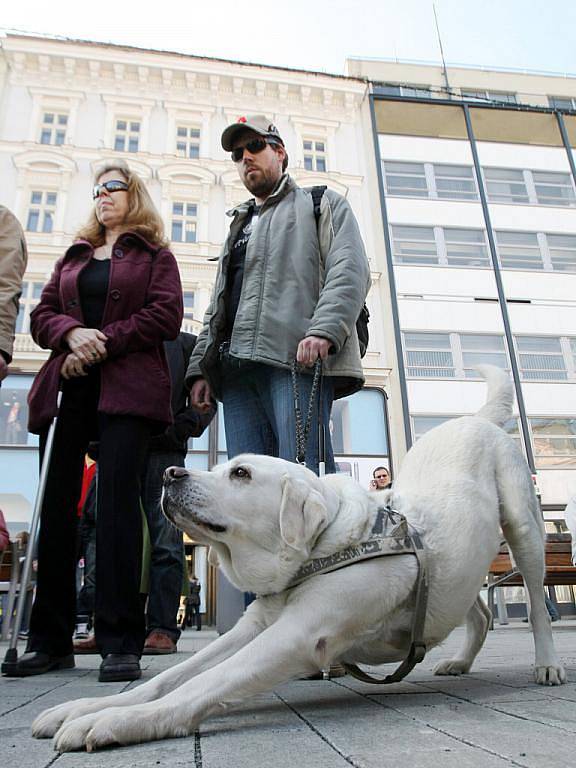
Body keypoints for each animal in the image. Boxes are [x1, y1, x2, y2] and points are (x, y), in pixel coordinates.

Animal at [31, 366, 564, 752]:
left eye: (241, 473)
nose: (169, 473)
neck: (323, 547)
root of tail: (476, 419)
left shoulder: (298, 633)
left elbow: (203, 684)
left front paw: (119, 719)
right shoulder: (253, 627)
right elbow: (177, 674)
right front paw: (83, 707)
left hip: (524, 530)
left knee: (537, 606)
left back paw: (547, 665)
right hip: (458, 569)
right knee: (478, 610)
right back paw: (460, 661)